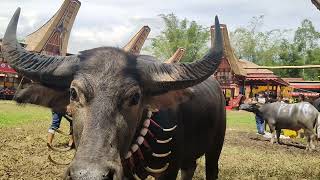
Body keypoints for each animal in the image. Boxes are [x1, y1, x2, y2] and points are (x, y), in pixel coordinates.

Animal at [3, 8, 228, 179]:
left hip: (215, 147)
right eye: (73, 94)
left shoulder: (168, 171)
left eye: (135, 97)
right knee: (190, 168)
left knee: (212, 169)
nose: (89, 175)